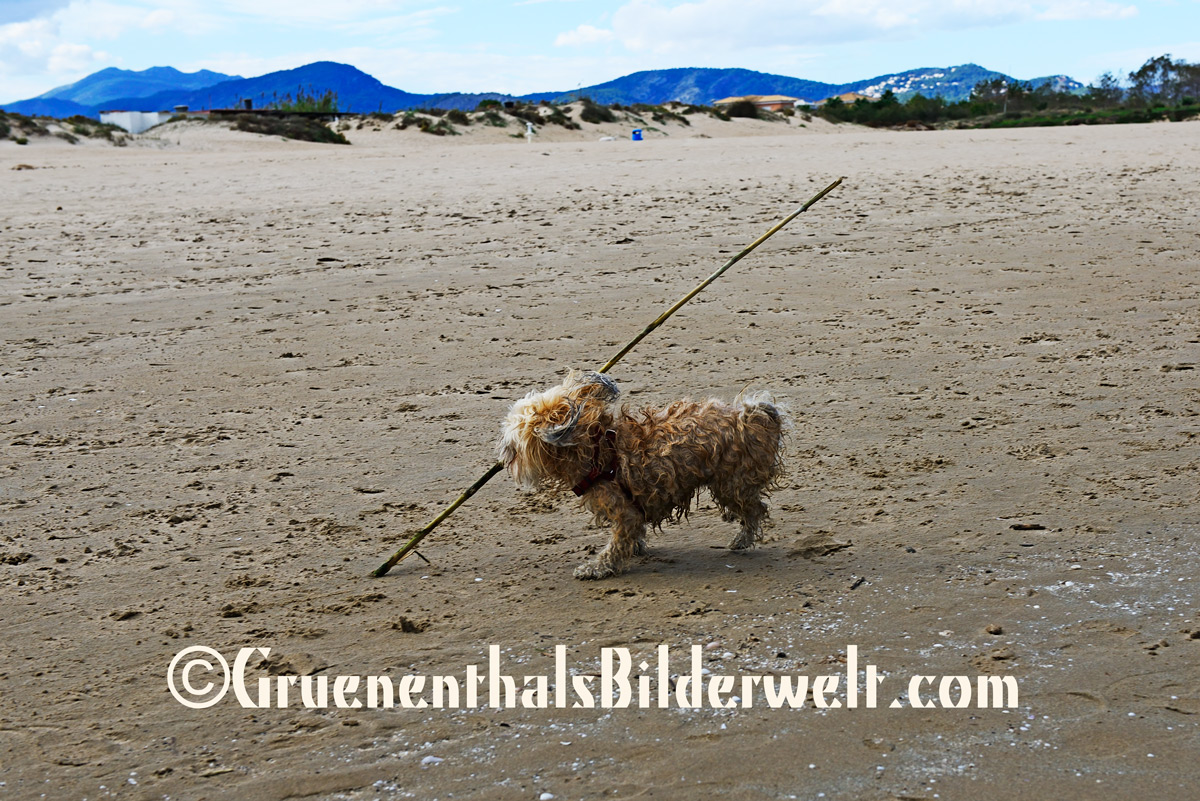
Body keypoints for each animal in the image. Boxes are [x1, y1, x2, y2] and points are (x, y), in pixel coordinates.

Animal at [496, 369, 787, 575]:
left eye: (514, 447)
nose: (502, 456)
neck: (595, 452)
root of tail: (753, 418)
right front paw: (636, 548)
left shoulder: (625, 512)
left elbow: (617, 544)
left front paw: (595, 568)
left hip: (731, 484)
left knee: (755, 509)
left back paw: (741, 540)